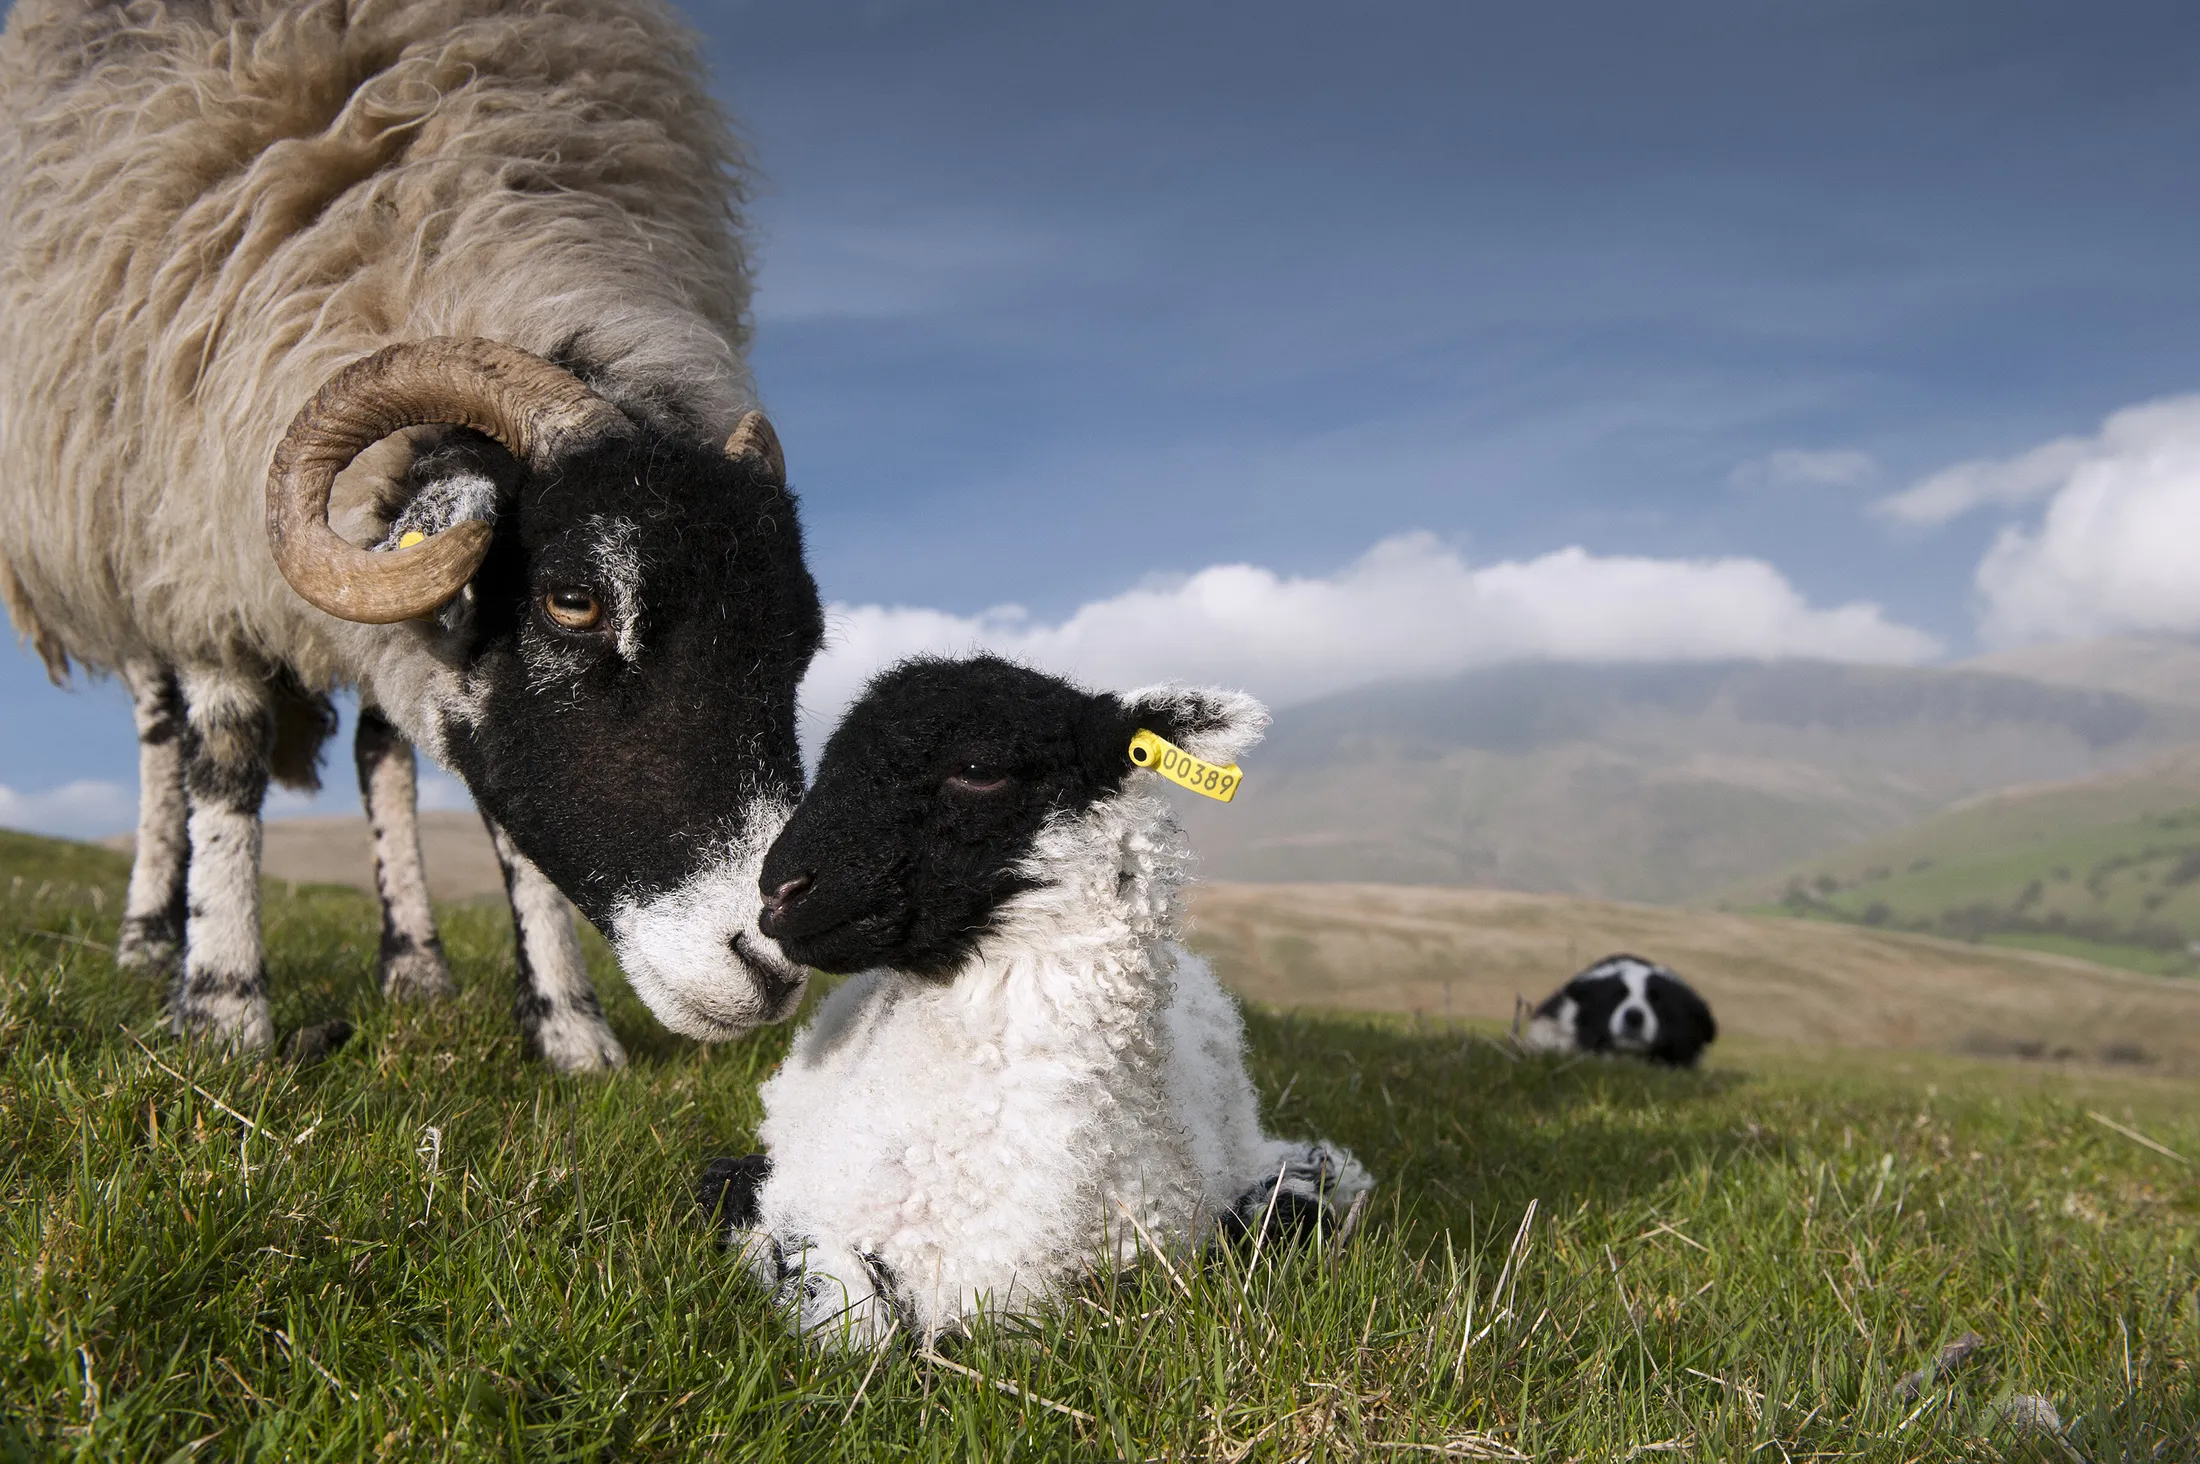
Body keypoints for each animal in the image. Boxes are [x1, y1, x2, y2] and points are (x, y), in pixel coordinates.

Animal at [0, 0, 826, 1065]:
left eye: (802, 647)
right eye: (574, 600)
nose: (775, 959)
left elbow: (491, 799)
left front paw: (570, 1030)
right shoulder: (196, 525)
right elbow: (224, 749)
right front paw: (224, 1010)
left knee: (380, 750)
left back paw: (416, 964)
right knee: (159, 735)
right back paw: (149, 939)